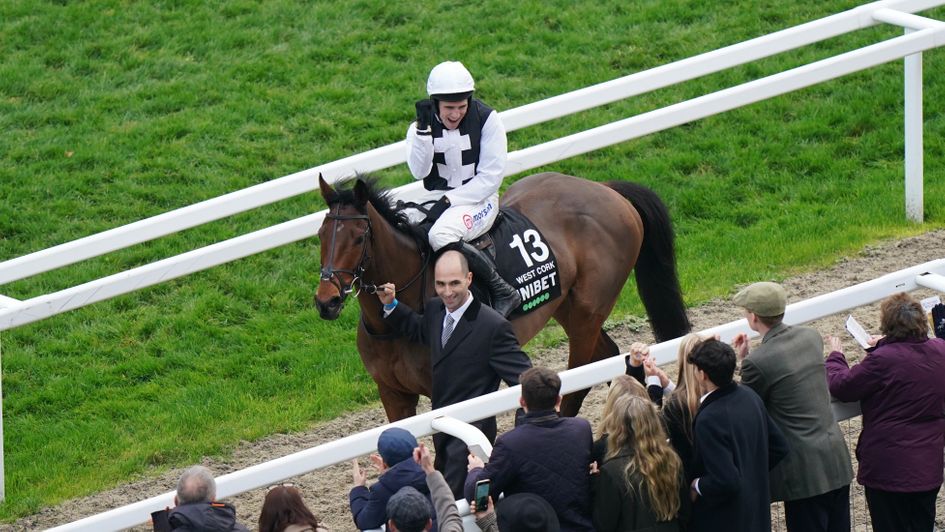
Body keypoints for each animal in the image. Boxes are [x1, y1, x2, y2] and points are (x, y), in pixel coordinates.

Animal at [314, 171, 688, 420]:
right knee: (609, 359)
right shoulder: (392, 394)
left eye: (359, 237)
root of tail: (606, 189)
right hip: (565, 305)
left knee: (581, 376)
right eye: (320, 234)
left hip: (589, 309)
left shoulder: (453, 393)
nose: (326, 301)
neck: (394, 324)